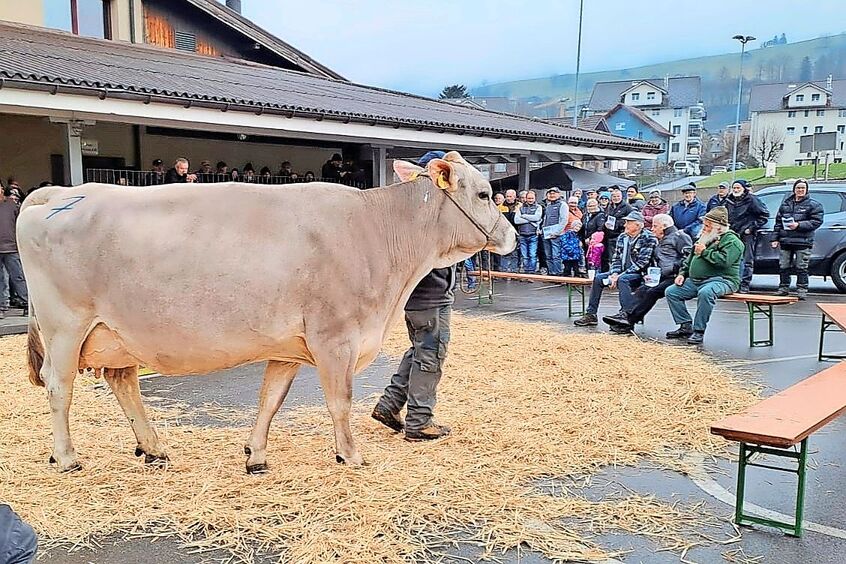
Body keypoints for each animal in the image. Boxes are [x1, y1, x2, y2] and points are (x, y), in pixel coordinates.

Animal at [18, 151, 517, 473]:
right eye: (485, 193)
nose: (511, 236)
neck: (377, 230)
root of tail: (56, 193)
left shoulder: (289, 347)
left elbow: (270, 400)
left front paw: (255, 455)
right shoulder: (335, 337)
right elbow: (340, 400)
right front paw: (350, 455)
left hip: (117, 335)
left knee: (123, 383)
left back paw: (153, 448)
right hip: (66, 328)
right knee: (59, 388)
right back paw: (66, 457)